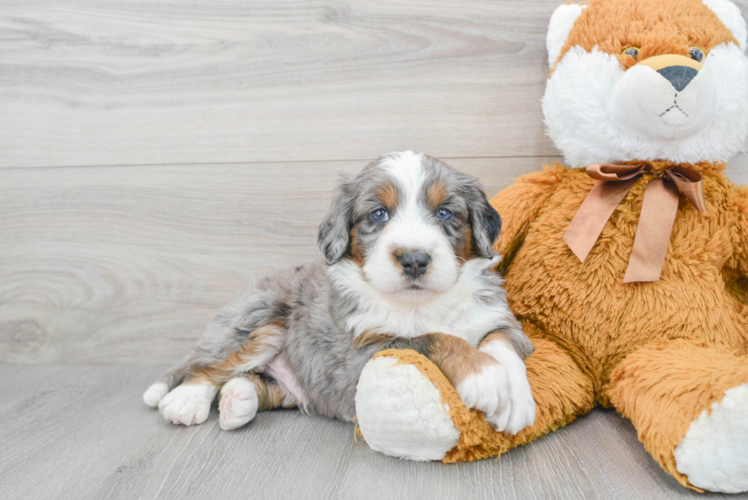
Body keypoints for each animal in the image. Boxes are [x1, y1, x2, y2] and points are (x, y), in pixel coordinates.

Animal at [143, 151, 536, 434]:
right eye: (378, 214)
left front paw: (516, 399)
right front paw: (485, 378)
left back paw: (238, 400)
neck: (424, 304)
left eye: (444, 213)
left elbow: (501, 342)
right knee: (206, 366)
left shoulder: (500, 319)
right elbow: (432, 338)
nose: (414, 260)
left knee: (264, 386)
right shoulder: (360, 353)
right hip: (259, 319)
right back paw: (186, 401)